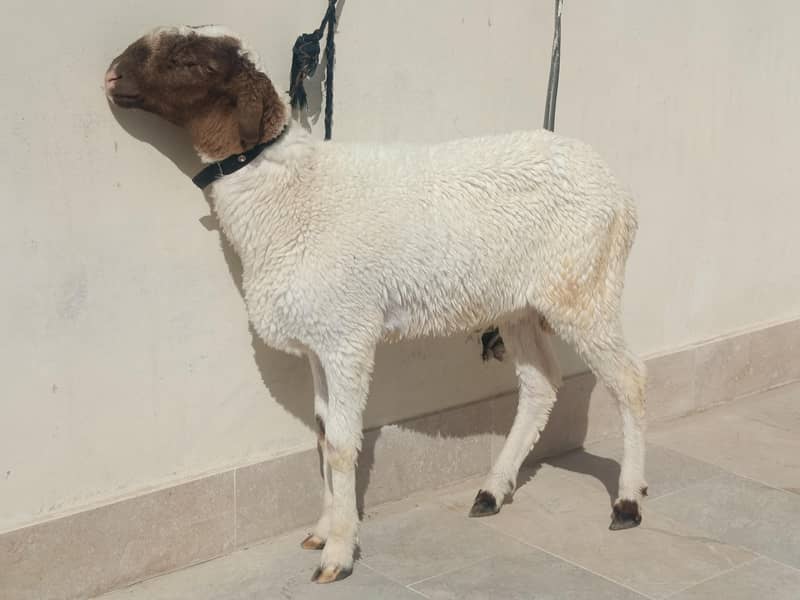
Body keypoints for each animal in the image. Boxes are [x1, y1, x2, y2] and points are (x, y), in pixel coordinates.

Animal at [105, 25, 647, 584]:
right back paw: (492, 491)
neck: (289, 194)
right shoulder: (318, 341)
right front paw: (322, 529)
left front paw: (338, 553)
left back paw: (627, 501)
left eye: (192, 62)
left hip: (586, 286)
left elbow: (343, 446)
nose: (112, 75)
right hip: (519, 303)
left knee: (629, 380)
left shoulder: (347, 335)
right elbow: (323, 436)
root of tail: (617, 190)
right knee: (540, 385)